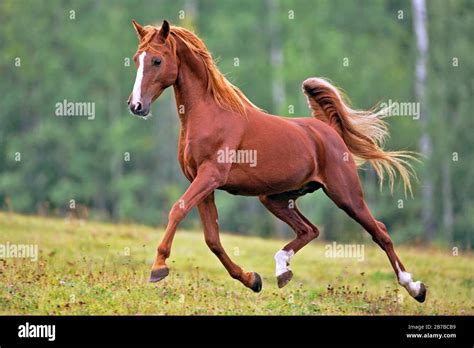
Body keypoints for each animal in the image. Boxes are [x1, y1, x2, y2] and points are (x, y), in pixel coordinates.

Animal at [128, 20, 428, 302]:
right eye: (136, 59)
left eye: (157, 60)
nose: (136, 106)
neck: (211, 114)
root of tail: (327, 130)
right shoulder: (202, 183)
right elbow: (212, 239)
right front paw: (252, 279)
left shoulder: (210, 176)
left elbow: (177, 210)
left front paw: (158, 267)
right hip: (276, 198)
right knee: (310, 230)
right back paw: (282, 271)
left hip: (346, 195)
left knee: (380, 232)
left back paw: (415, 288)